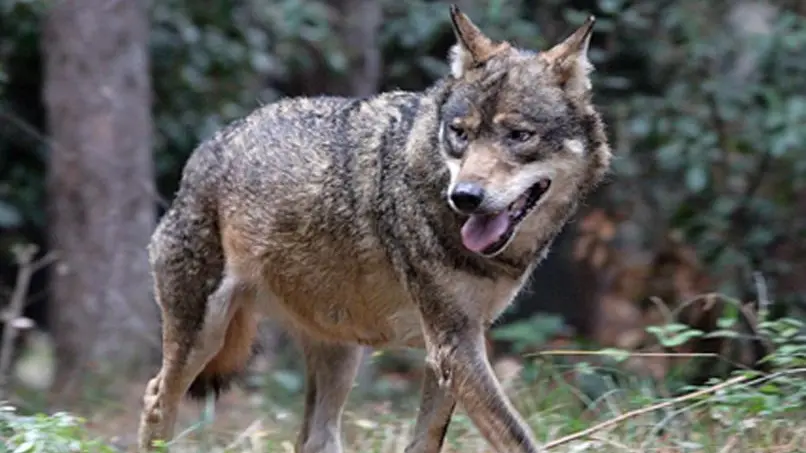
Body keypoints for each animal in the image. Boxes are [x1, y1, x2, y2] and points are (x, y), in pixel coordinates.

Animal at [137, 6, 612, 452]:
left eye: (518, 135)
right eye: (460, 133)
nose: (465, 196)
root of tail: (208, 146)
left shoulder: (454, 347)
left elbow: (427, 440)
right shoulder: (454, 345)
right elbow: (519, 438)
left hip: (340, 351)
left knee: (313, 438)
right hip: (204, 336)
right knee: (155, 399)